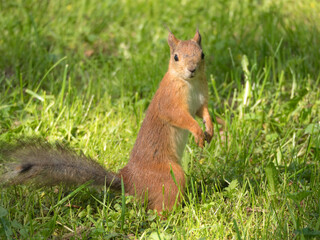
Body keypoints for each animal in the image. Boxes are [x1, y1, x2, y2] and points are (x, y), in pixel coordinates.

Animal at [0, 30, 225, 214]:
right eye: (176, 57)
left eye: (202, 54)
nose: (192, 69)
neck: (189, 83)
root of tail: (130, 181)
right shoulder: (169, 102)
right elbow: (180, 117)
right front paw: (197, 132)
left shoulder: (200, 99)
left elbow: (203, 111)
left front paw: (210, 128)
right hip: (170, 176)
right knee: (161, 209)